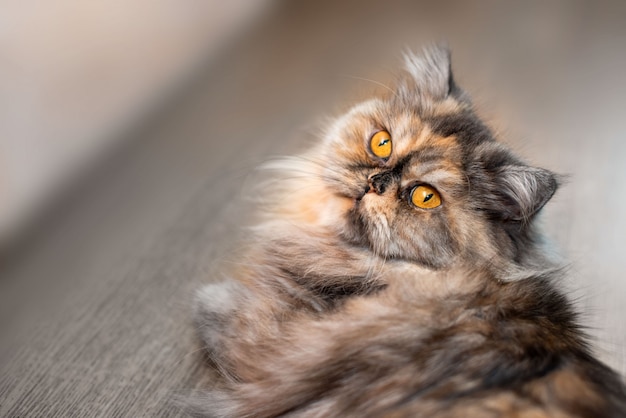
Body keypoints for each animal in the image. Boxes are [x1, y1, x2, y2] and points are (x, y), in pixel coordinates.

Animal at [191, 46, 624, 418]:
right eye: (382, 144)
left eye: (424, 197)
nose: (376, 181)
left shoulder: (270, 346)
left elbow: (222, 312)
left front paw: (208, 296)